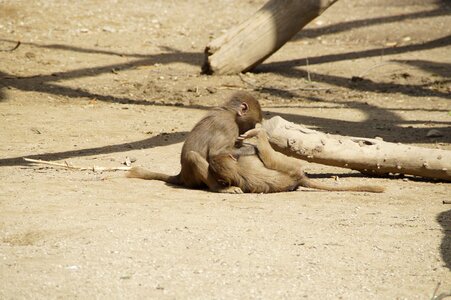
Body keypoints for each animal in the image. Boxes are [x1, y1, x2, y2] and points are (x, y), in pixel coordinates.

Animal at [128, 92, 384, 193]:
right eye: (252, 120)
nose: (250, 130)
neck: (229, 112)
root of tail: (181, 176)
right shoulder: (228, 127)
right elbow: (218, 153)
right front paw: (249, 144)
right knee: (196, 157)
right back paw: (223, 186)